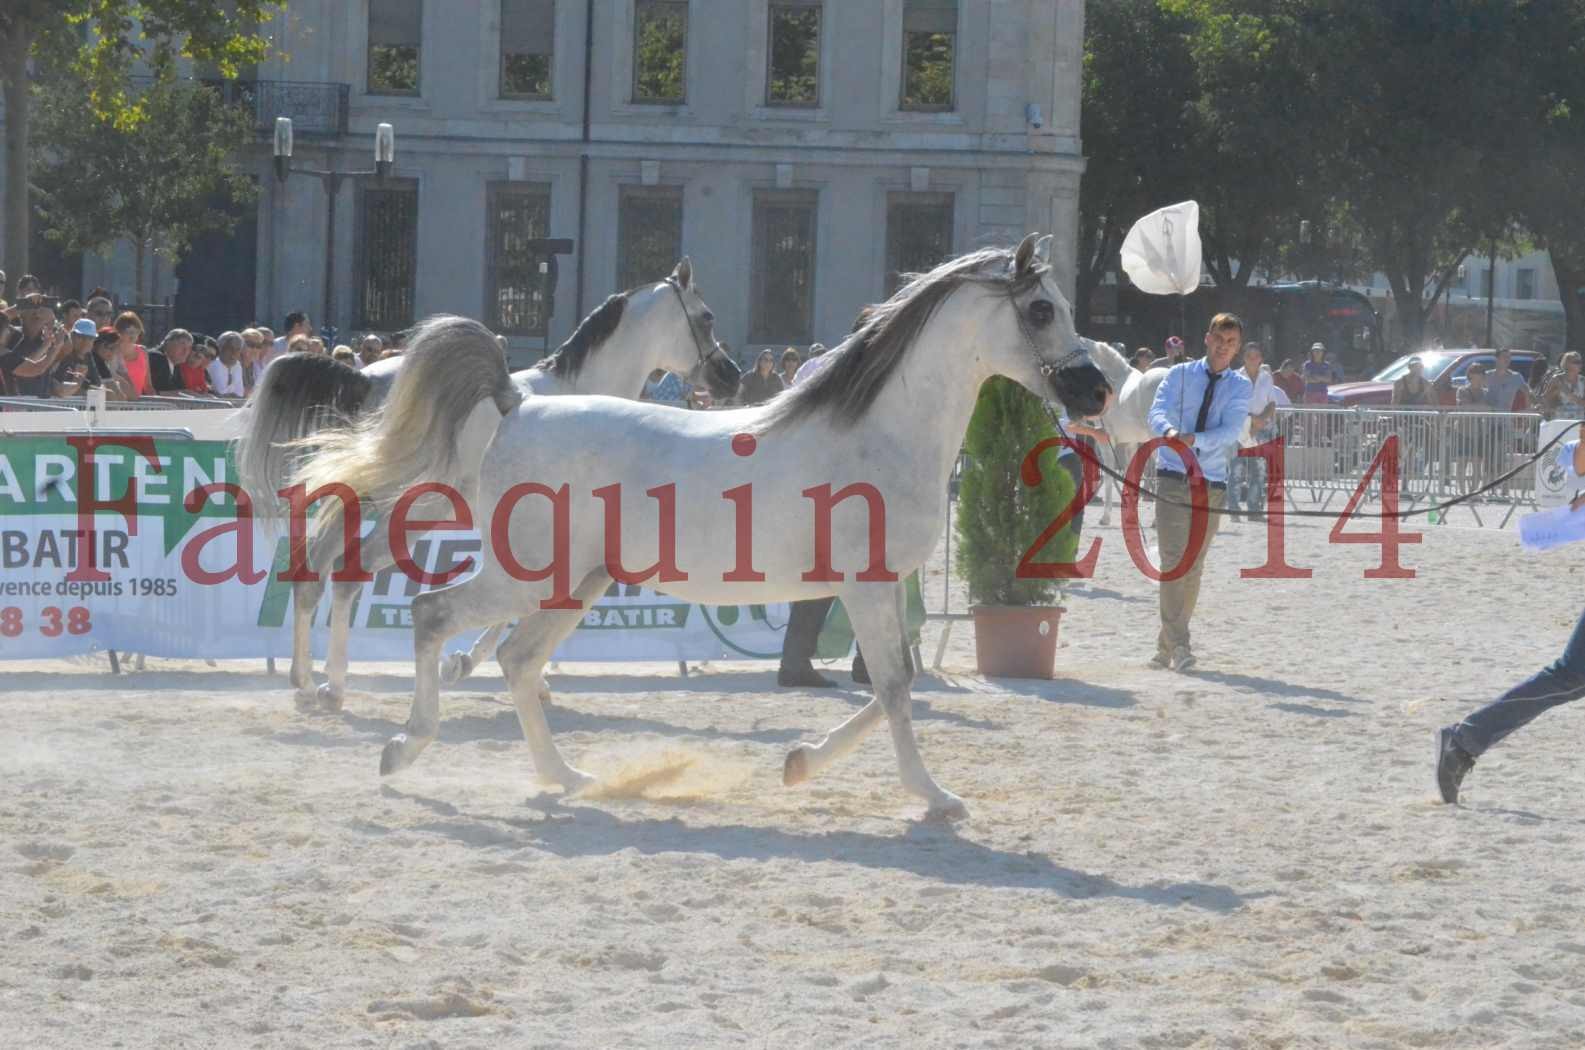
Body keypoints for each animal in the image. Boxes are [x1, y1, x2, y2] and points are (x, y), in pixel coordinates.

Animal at [236, 258, 741, 710]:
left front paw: (485, 667)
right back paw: (332, 684)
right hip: (413, 507)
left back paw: (307, 681)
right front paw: (467, 665)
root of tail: (363, 378)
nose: (732, 376)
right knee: (345, 570)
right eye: (707, 316)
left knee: (318, 571)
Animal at [302, 236, 1109, 824]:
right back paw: (399, 745)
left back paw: (565, 775)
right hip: (524, 574)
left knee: (518, 662)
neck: (877, 433)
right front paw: (934, 796)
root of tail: (515, 403)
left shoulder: (875, 589)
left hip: (577, 581)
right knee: (433, 616)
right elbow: (893, 688)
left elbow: (889, 689)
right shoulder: (865, 585)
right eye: (1041, 309)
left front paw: (798, 762)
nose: (1094, 389)